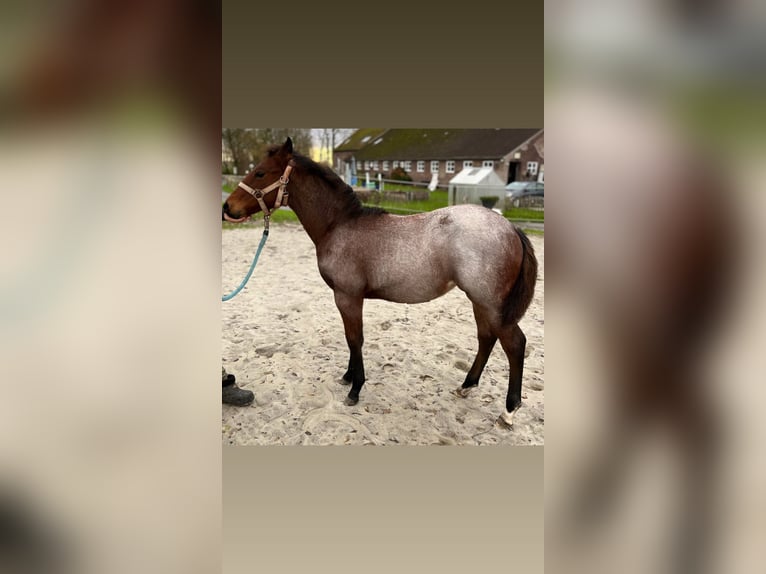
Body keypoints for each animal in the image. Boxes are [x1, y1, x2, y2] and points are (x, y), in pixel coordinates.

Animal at [224, 137, 540, 430]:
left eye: (260, 173)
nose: (228, 207)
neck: (339, 226)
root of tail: (511, 227)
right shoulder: (349, 298)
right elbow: (352, 339)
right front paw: (348, 377)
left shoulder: (347, 296)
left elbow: (355, 339)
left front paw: (355, 389)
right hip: (480, 303)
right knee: (486, 338)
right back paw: (466, 386)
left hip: (491, 304)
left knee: (514, 344)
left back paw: (508, 411)